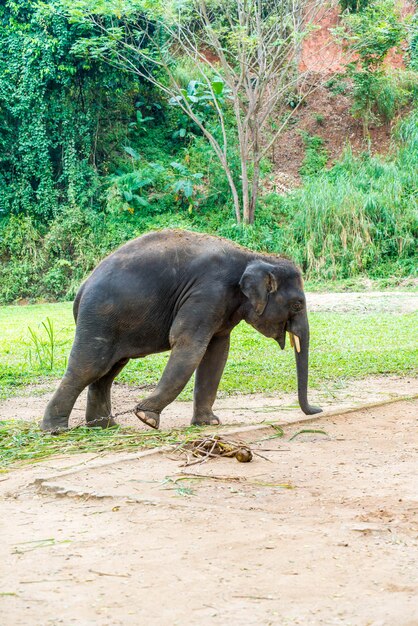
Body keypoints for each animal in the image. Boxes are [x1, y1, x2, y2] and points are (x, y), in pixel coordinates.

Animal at [40, 228, 322, 428]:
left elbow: (217, 353)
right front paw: (146, 418)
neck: (254, 255)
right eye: (297, 304)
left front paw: (208, 423)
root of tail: (81, 289)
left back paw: (105, 427)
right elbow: (189, 345)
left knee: (108, 371)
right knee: (90, 367)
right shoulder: (207, 292)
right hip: (99, 316)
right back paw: (55, 430)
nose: (318, 410)